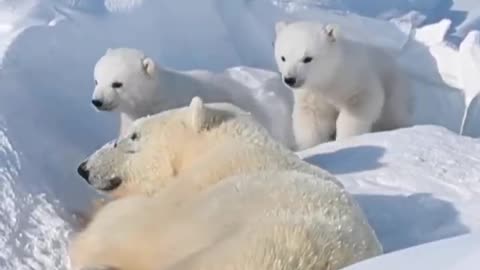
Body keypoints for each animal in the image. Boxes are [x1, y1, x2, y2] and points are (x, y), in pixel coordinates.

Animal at [274, 20, 412, 151]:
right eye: (283, 58)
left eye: (307, 58)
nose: (290, 79)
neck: (330, 76)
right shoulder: (313, 93)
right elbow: (312, 119)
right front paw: (309, 147)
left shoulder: (355, 79)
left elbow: (360, 105)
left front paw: (344, 140)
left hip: (394, 91)